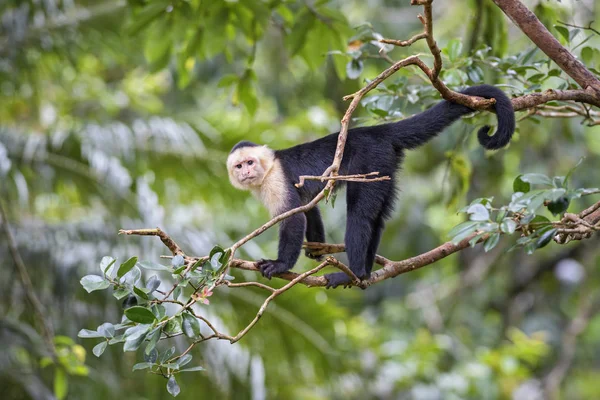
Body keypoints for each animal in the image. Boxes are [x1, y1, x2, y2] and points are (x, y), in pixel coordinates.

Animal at [227, 85, 512, 290]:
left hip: (370, 161)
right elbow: (308, 209)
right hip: (385, 167)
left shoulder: (275, 180)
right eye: (239, 166)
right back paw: (365, 274)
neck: (268, 168)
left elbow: (294, 217)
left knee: (359, 215)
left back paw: (353, 273)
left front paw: (280, 265)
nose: (247, 172)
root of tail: (376, 132)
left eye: (250, 162)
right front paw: (317, 248)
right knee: (377, 218)